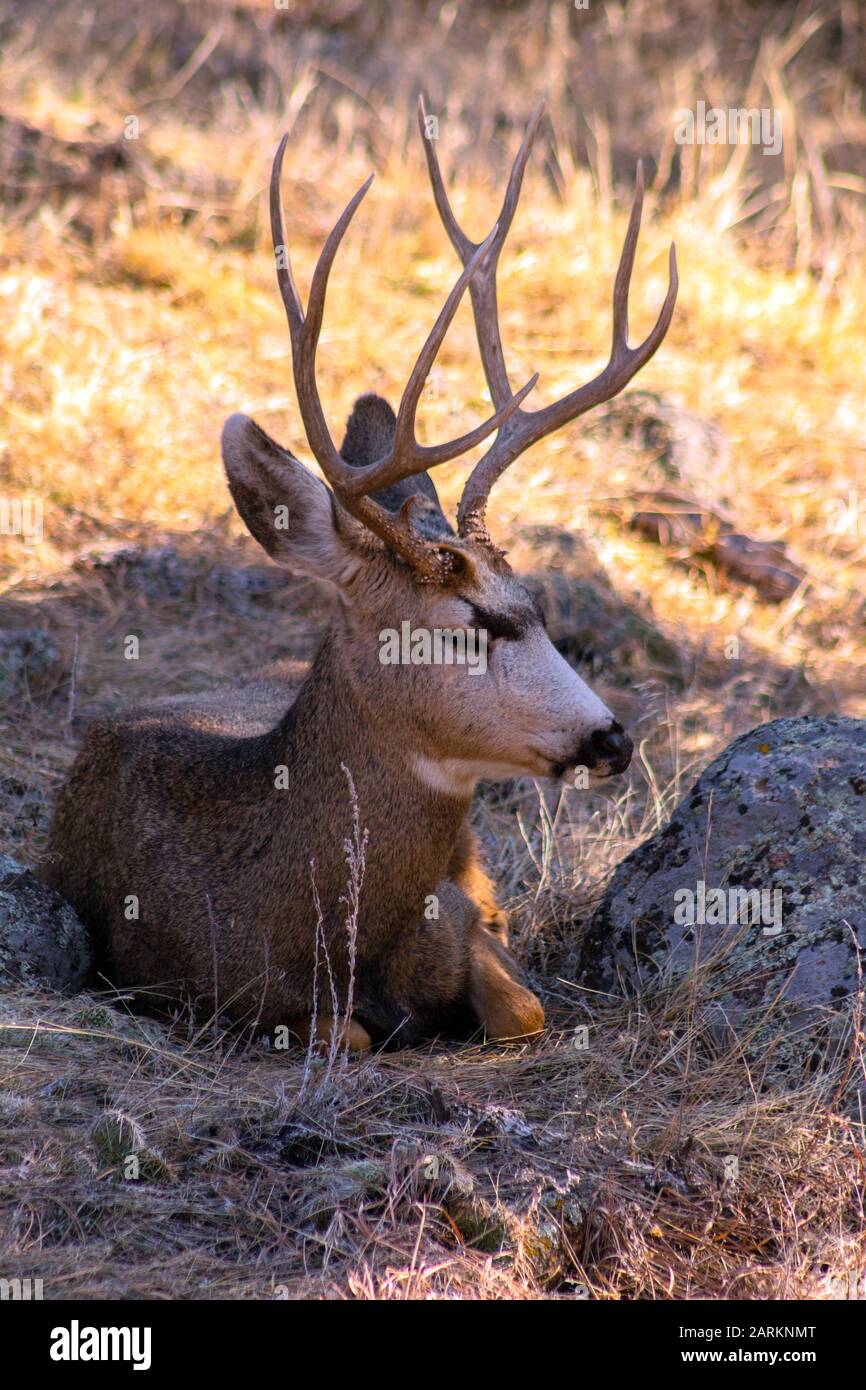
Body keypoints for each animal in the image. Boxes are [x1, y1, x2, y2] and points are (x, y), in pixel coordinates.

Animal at [44, 97, 678, 1045]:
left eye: (534, 606)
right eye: (460, 630)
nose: (612, 738)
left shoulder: (469, 918)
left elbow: (521, 1008)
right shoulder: (207, 990)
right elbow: (344, 1031)